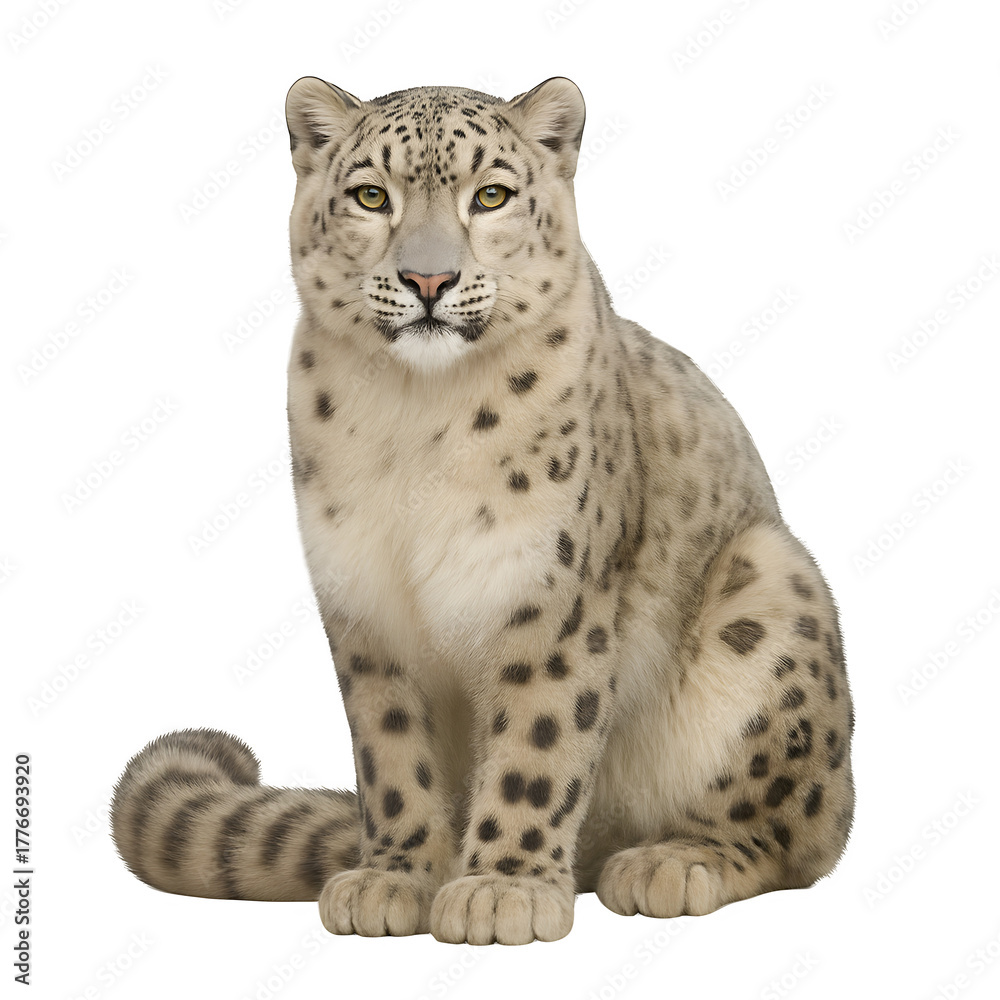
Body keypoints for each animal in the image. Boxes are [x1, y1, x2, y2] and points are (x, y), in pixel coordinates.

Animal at [111, 76, 855, 945]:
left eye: (490, 194)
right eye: (371, 195)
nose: (428, 281)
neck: (416, 417)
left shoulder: (550, 596)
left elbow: (537, 744)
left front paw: (503, 888)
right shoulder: (366, 605)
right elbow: (392, 753)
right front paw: (395, 877)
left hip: (773, 582)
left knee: (795, 835)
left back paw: (670, 862)